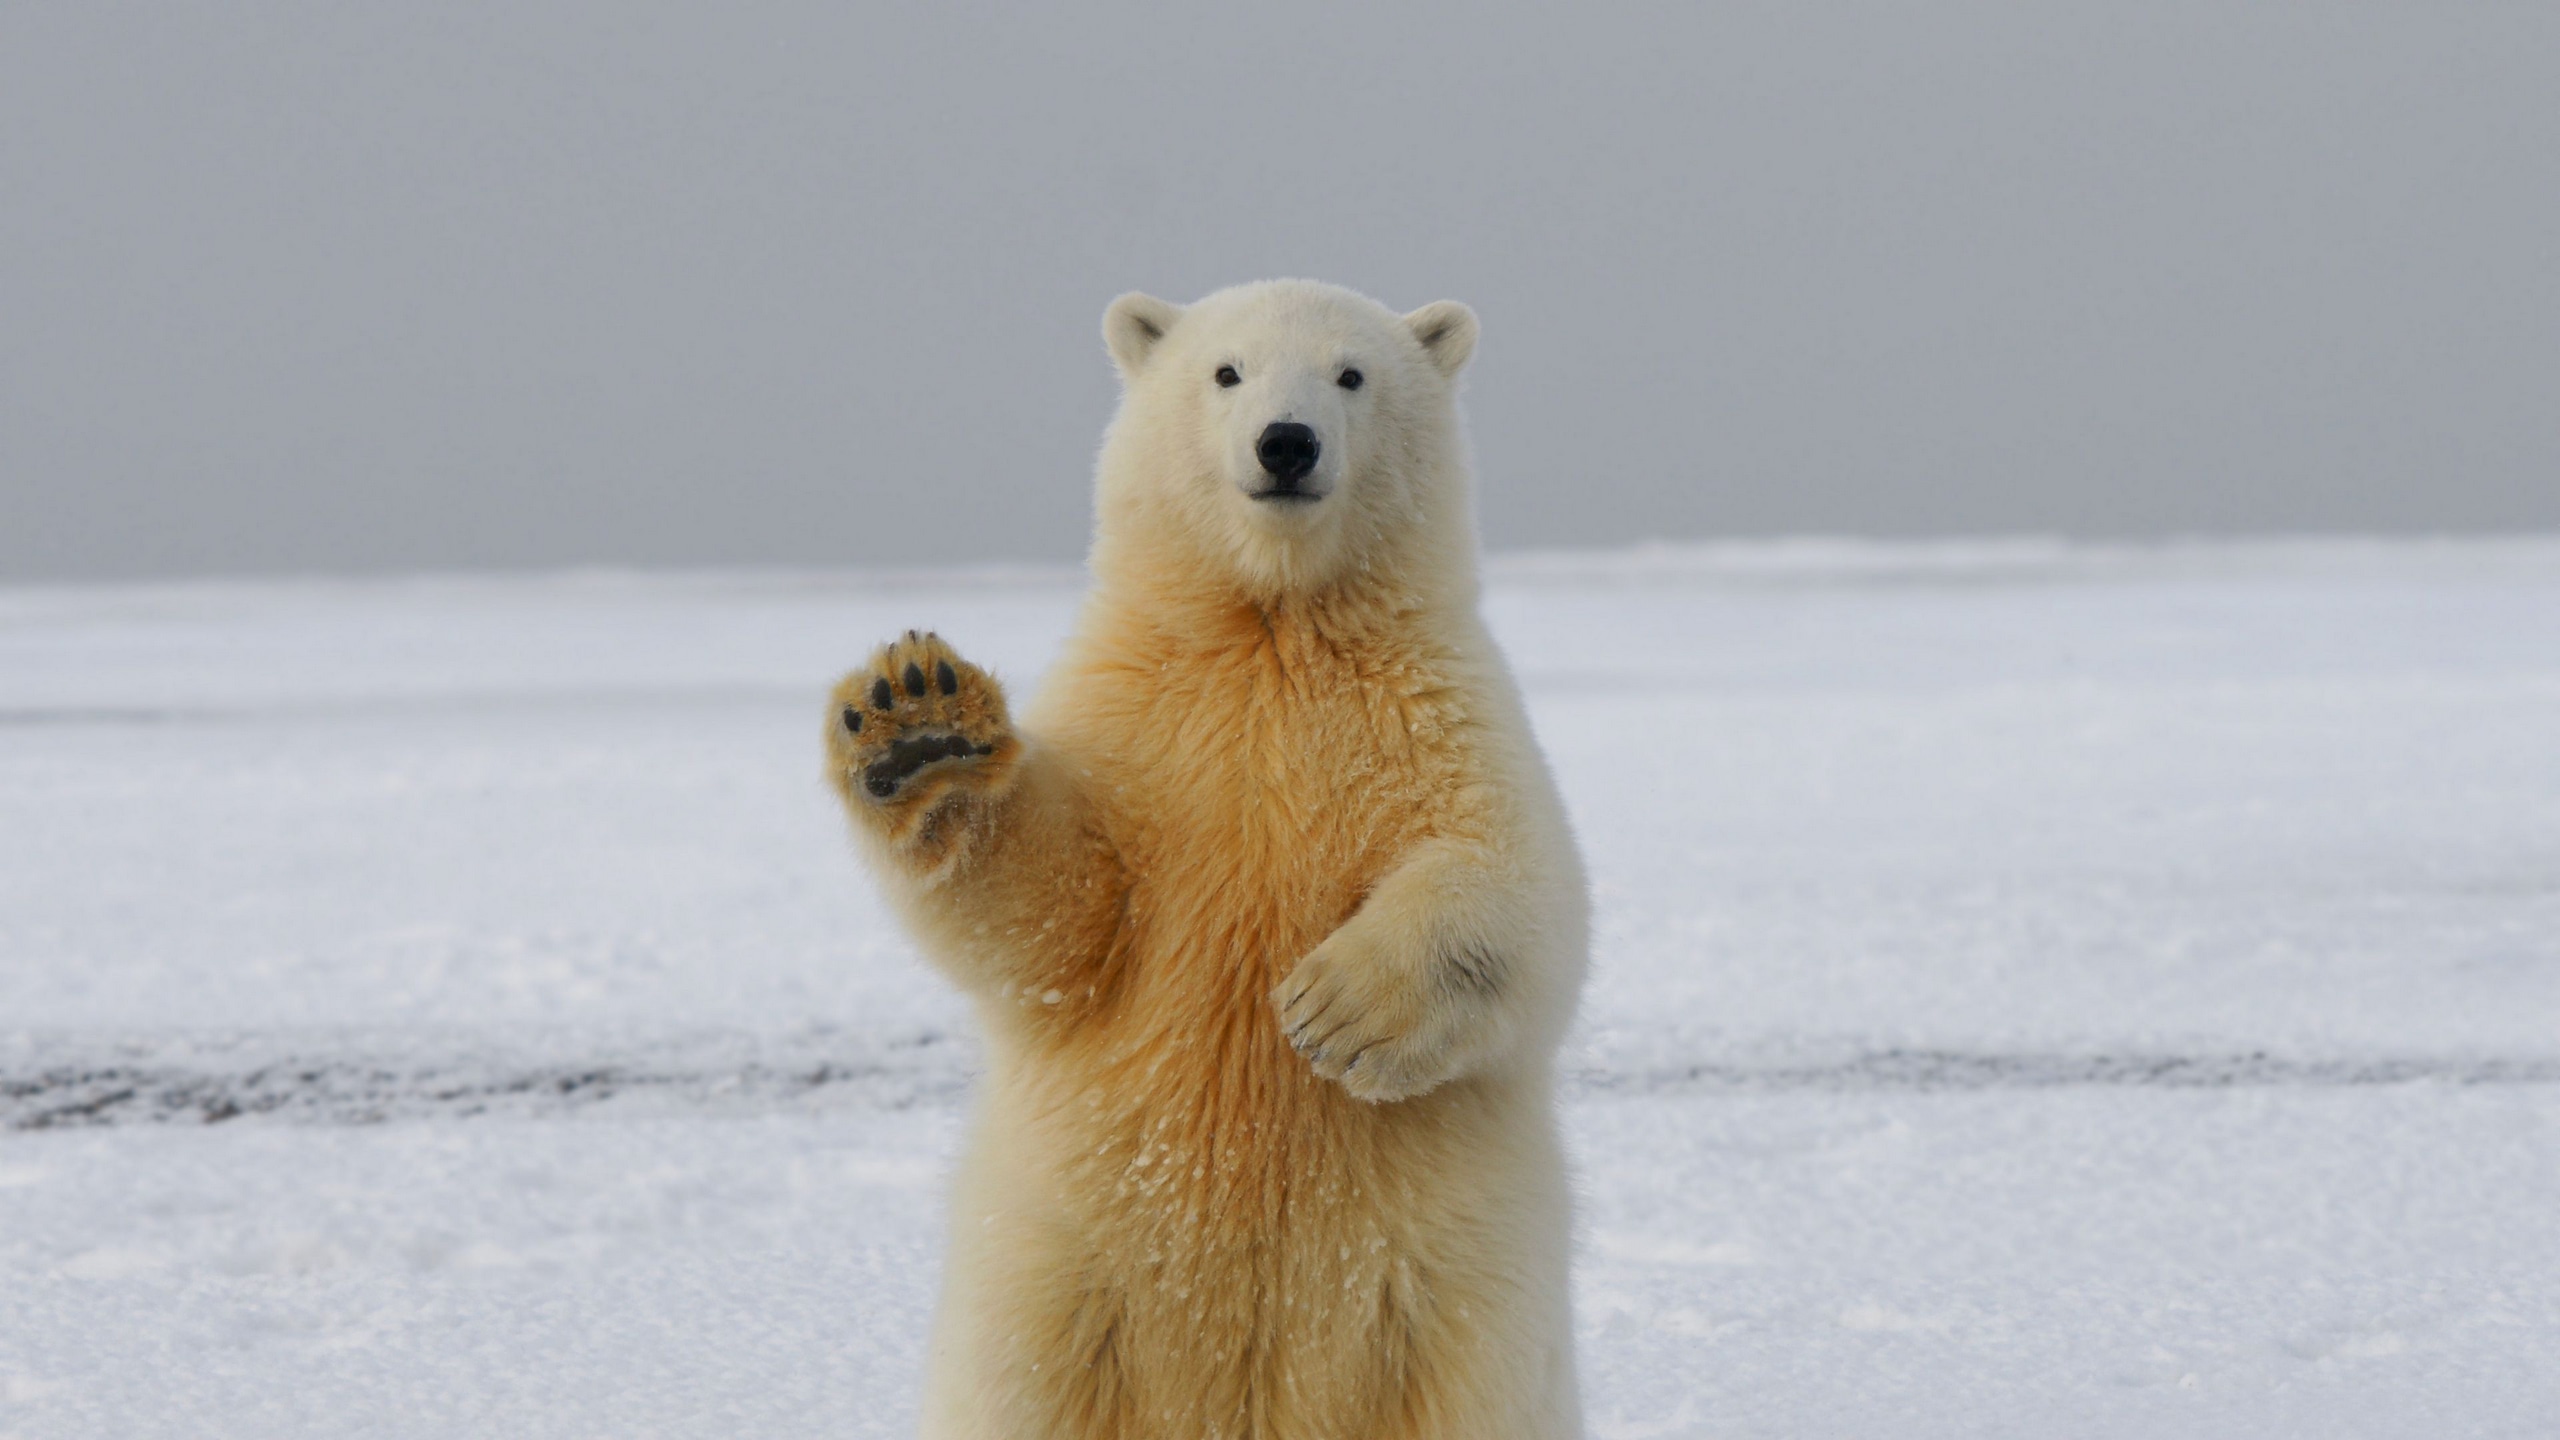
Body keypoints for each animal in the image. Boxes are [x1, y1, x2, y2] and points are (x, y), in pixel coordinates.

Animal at [824, 279, 1588, 1439]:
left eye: (1350, 374)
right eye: (1226, 371)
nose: (1286, 442)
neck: (1271, 627)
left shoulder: (1439, 714)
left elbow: (1520, 891)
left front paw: (1334, 1011)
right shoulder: (1141, 725)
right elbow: (1058, 916)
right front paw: (918, 723)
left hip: (1453, 1311)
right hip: (1054, 1285)